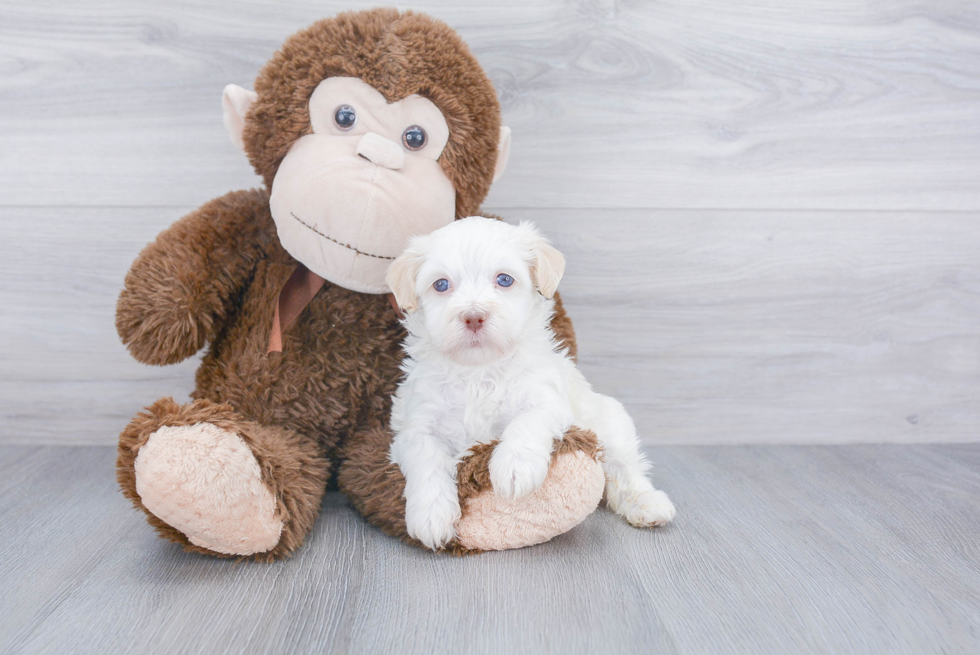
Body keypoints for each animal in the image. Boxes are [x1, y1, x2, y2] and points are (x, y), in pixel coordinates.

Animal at [382, 218, 672, 552]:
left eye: (504, 279)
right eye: (441, 285)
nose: (473, 317)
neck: (479, 371)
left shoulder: (547, 399)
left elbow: (528, 421)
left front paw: (513, 467)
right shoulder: (416, 425)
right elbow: (426, 459)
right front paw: (431, 515)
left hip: (611, 423)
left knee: (625, 467)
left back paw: (647, 503)